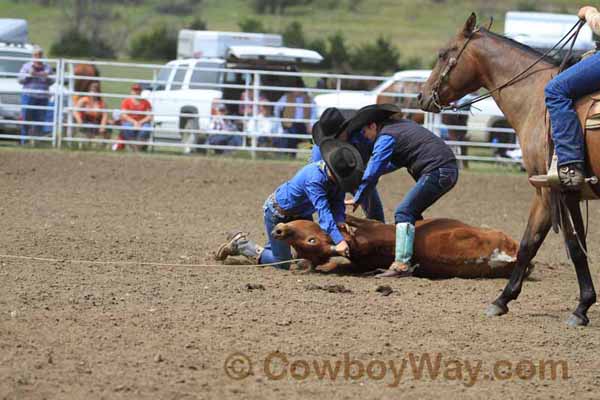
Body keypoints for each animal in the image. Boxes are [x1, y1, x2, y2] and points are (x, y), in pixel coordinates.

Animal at [420, 14, 596, 326]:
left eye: (443, 53)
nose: (422, 96)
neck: (536, 97)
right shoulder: (551, 192)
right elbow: (533, 244)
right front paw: (502, 300)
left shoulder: (553, 190)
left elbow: (569, 246)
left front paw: (581, 308)